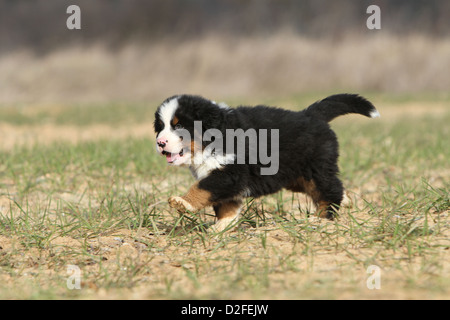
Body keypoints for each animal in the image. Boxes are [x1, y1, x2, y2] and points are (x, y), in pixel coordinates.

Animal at [155, 94, 380, 231]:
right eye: (160, 127)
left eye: (179, 126)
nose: (160, 142)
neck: (214, 138)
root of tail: (310, 114)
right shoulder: (225, 179)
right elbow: (225, 206)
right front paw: (222, 227)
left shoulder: (228, 173)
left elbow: (201, 188)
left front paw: (183, 202)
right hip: (296, 177)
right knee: (333, 188)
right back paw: (346, 201)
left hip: (316, 168)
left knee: (329, 189)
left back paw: (321, 219)